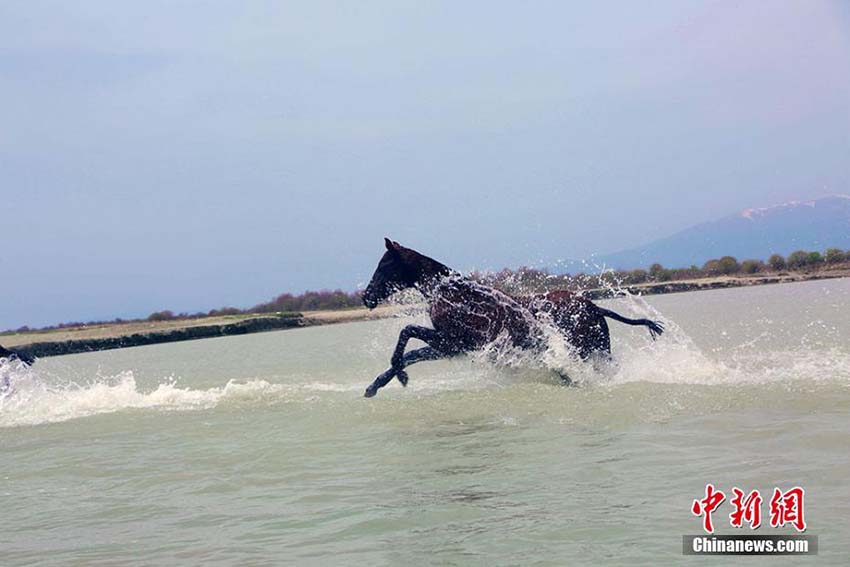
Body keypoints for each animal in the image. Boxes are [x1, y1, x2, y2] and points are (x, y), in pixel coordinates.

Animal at [361, 239, 663, 397]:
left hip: (591, 350)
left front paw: (397, 375)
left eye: (384, 265)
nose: (367, 297)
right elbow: (411, 353)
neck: (449, 292)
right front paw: (377, 385)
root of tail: (596, 308)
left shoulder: (456, 341)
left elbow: (406, 333)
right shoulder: (452, 346)